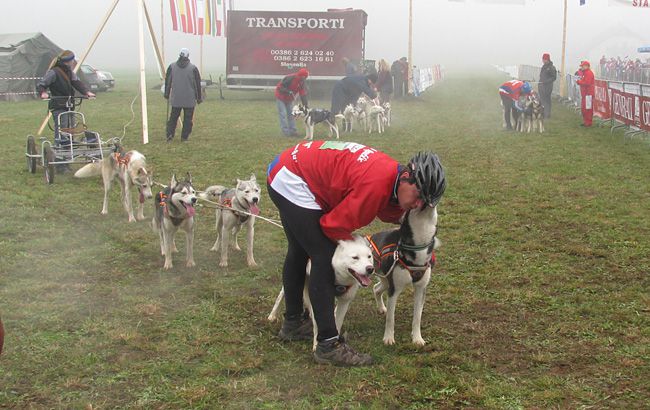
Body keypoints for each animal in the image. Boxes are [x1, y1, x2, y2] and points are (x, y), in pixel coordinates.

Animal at [368, 205, 438, 346]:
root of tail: (372, 237)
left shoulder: (421, 289)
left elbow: (417, 317)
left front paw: (417, 338)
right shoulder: (394, 290)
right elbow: (391, 318)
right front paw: (388, 338)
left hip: (386, 280)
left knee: (376, 288)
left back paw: (381, 308)